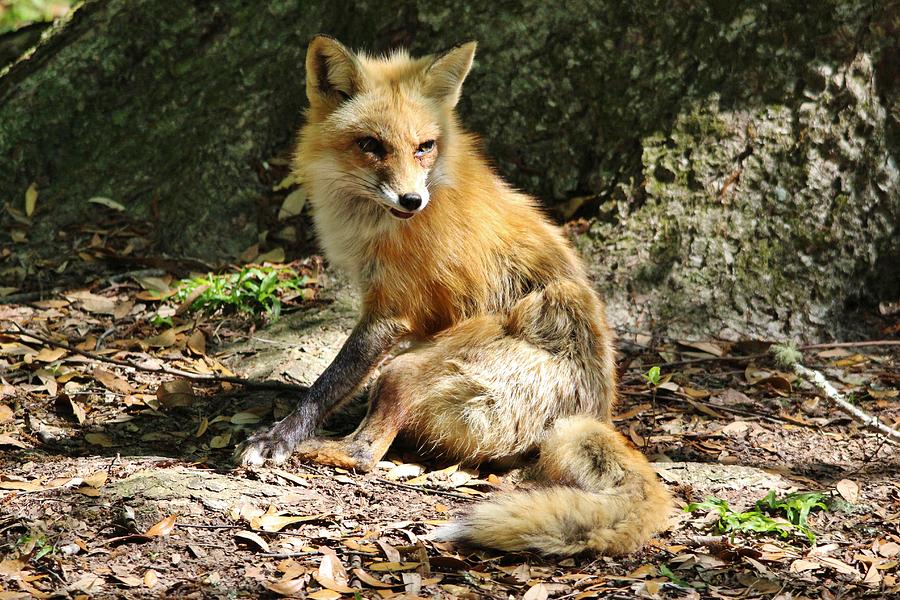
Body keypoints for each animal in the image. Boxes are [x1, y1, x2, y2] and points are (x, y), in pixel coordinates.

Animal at [236, 35, 672, 556]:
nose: (411, 200)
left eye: (424, 147)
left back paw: (321, 448)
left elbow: (329, 383)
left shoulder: (393, 312)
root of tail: (594, 414)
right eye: (371, 146)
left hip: (405, 369)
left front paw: (282, 436)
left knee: (366, 453)